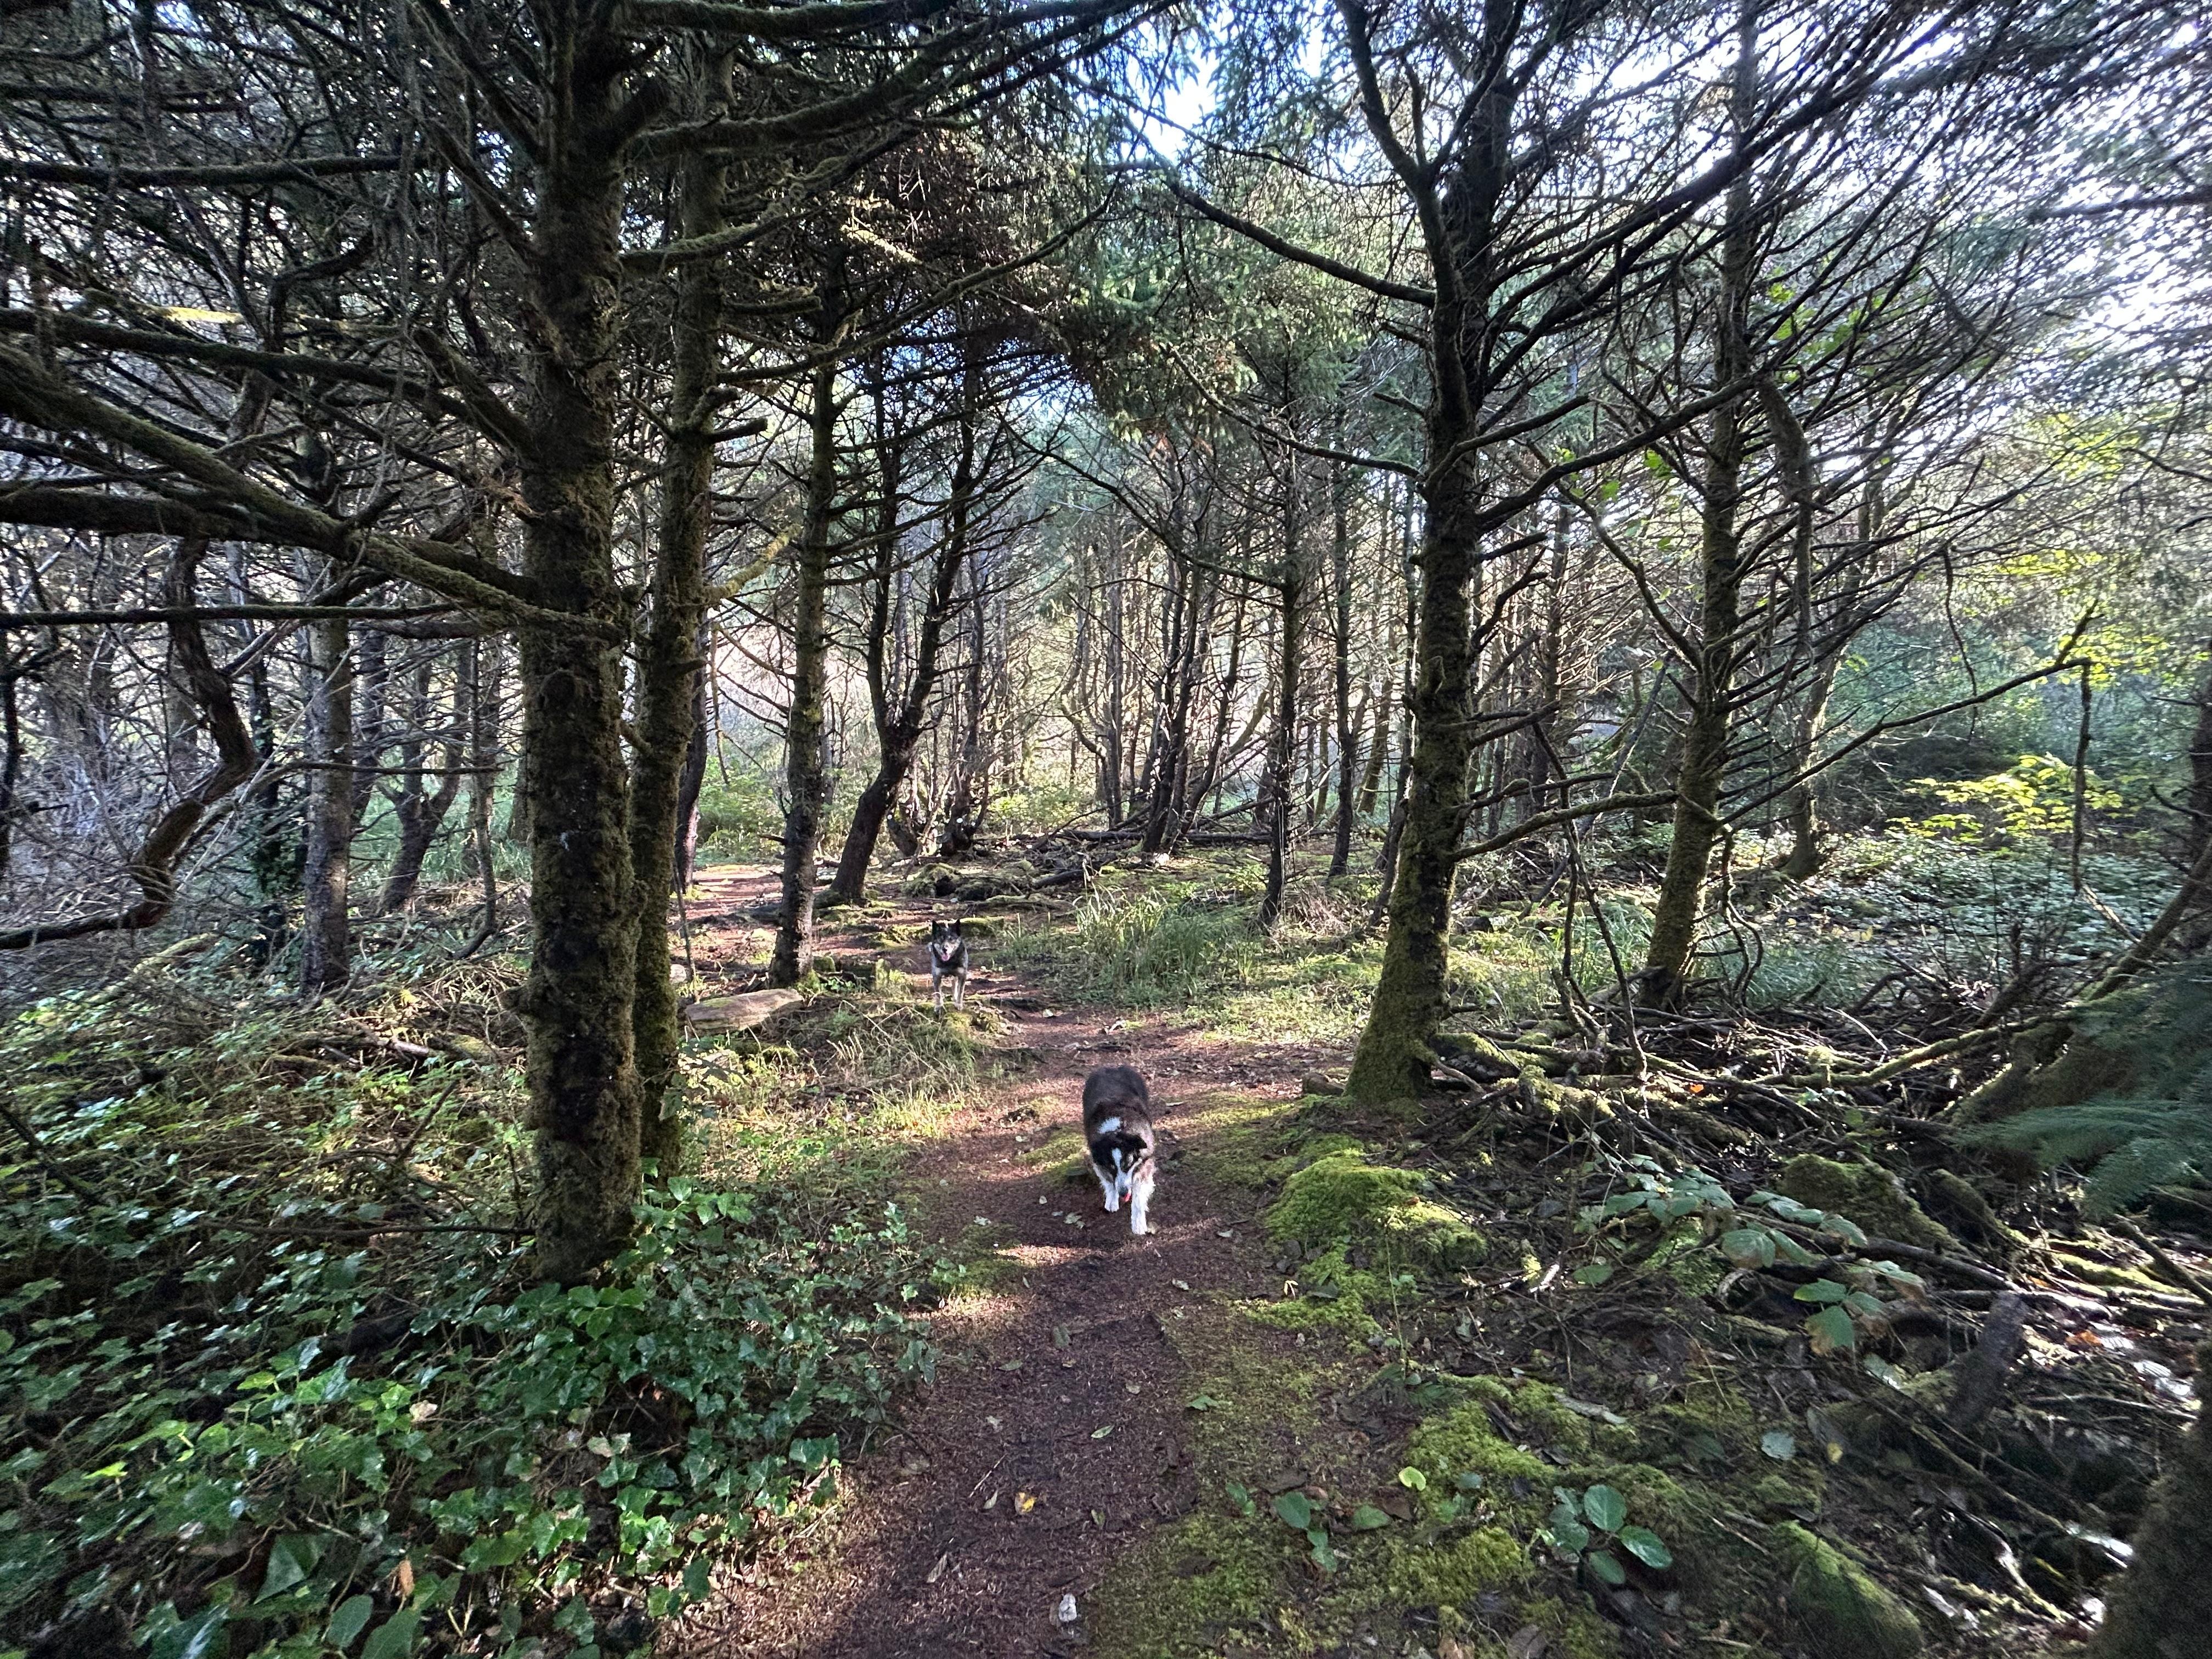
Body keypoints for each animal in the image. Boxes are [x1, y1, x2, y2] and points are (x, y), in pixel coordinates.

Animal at [928, 918, 969, 1011]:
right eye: (941, 939)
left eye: (951, 939)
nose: (945, 949)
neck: (949, 961)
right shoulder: (937, 976)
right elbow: (938, 993)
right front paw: (939, 1006)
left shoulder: (962, 975)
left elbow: (961, 992)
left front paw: (959, 1004)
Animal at [1082, 1064, 1157, 1236]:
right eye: (1112, 1167)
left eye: (1127, 1165)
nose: (1123, 1193)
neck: (1117, 1131)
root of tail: (1112, 1067)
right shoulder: (1098, 1158)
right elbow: (1109, 1181)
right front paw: (1112, 1199)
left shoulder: (1145, 1163)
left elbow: (1138, 1199)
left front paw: (1138, 1225)